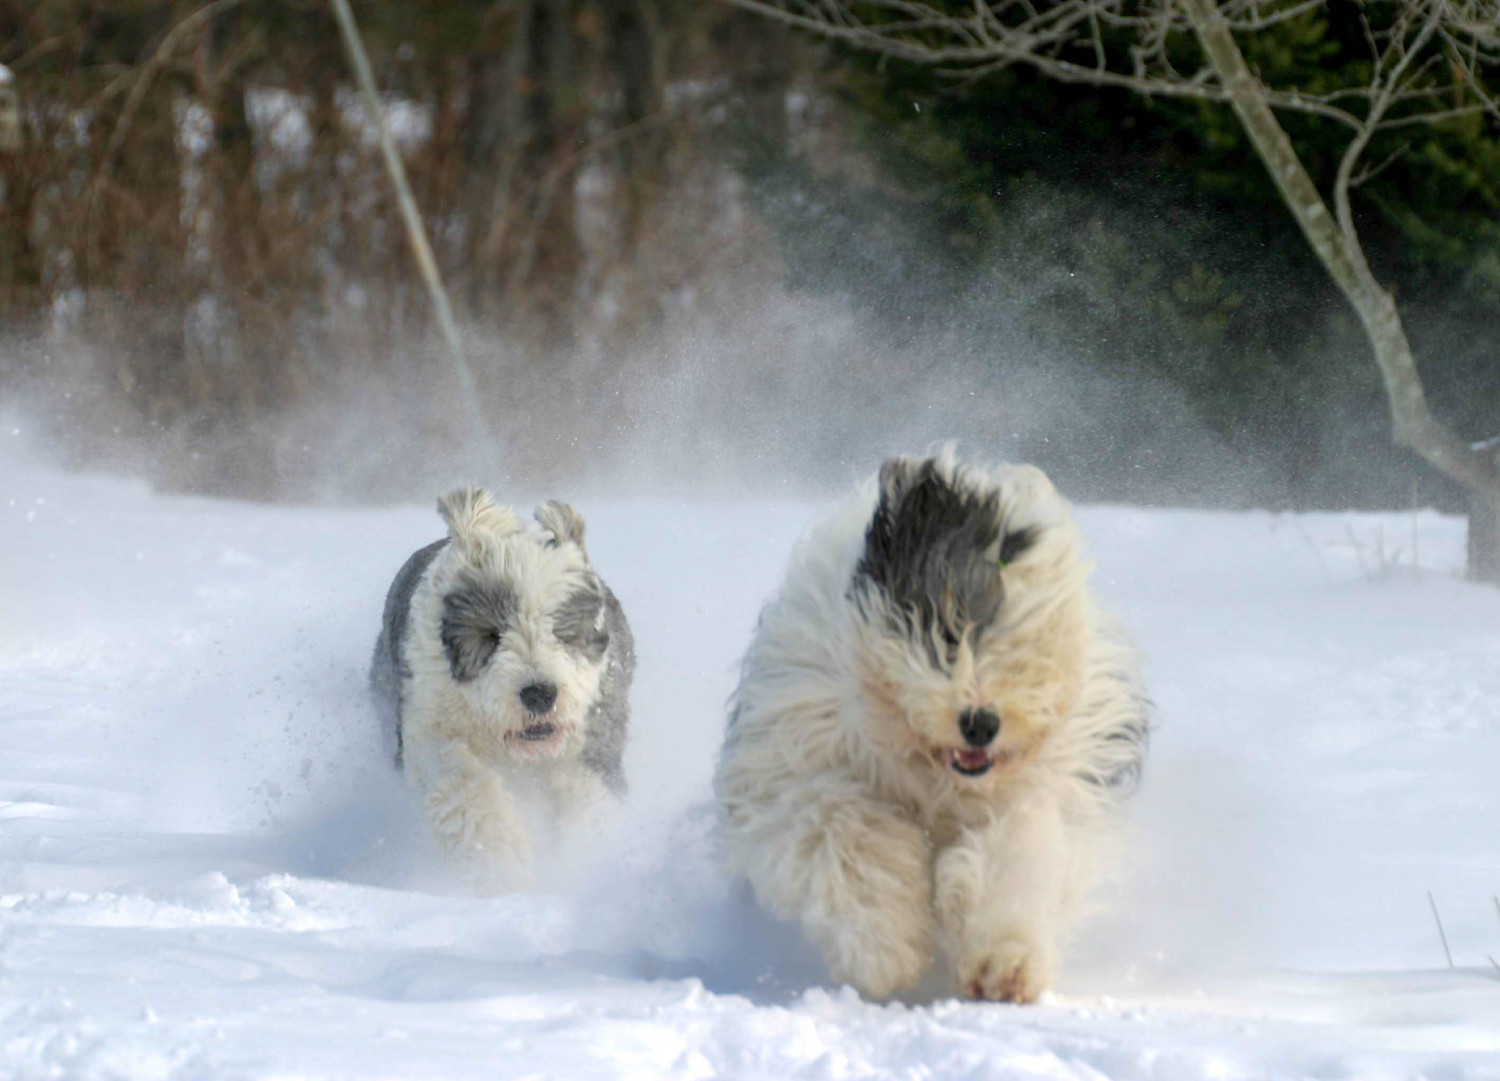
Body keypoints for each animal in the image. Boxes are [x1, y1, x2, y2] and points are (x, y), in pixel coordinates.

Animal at [375, 485, 639, 887]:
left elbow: (590, 799)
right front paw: (501, 867)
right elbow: (462, 787)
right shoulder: (428, 722)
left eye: (561, 629)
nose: (539, 693)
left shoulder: (595, 729)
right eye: (492, 634)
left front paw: (579, 863)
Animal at [714, 449, 1146, 1001]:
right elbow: (844, 829)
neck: (933, 769)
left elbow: (1014, 856)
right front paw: (885, 952)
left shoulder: (1033, 789)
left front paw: (1006, 963)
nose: (981, 723)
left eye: (1021, 640)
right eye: (947, 628)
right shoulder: (799, 758)